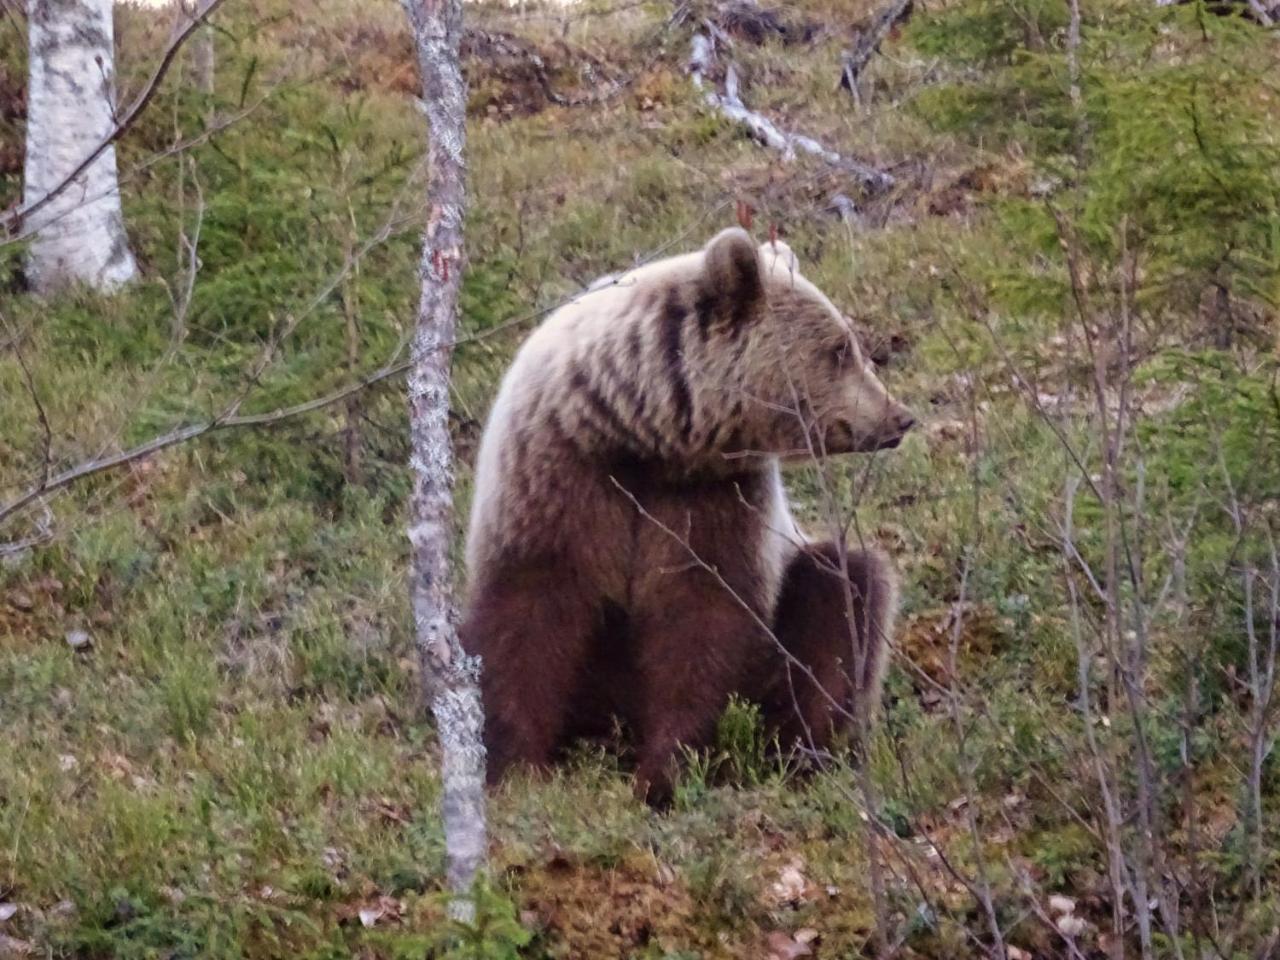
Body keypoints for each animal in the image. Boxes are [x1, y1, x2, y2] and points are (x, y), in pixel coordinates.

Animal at [458, 227, 911, 803]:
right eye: (840, 349)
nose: (899, 416)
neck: (642, 436)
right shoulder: (556, 476)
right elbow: (527, 617)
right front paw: (516, 769)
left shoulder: (714, 500)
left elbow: (705, 623)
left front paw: (665, 774)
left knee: (844, 590)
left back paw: (800, 752)